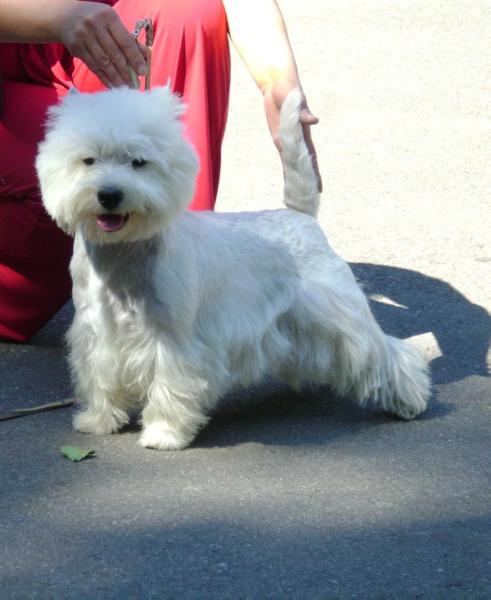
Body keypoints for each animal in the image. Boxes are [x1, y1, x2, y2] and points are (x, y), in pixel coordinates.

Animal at [36, 85, 430, 450]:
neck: (123, 255)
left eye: (138, 162)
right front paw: (97, 420)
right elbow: (97, 376)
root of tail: (301, 216)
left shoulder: (172, 338)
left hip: (338, 312)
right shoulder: (94, 331)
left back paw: (410, 401)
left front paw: (164, 434)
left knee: (385, 352)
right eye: (88, 160)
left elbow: (169, 384)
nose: (110, 195)